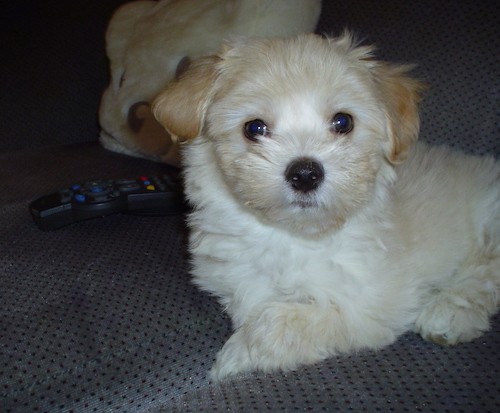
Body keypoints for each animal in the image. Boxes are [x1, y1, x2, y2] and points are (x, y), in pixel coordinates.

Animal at [153, 33, 500, 380]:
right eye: (254, 128)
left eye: (343, 122)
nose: (305, 173)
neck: (290, 237)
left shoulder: (374, 303)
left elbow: (282, 322)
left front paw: (234, 357)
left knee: (484, 274)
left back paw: (450, 313)